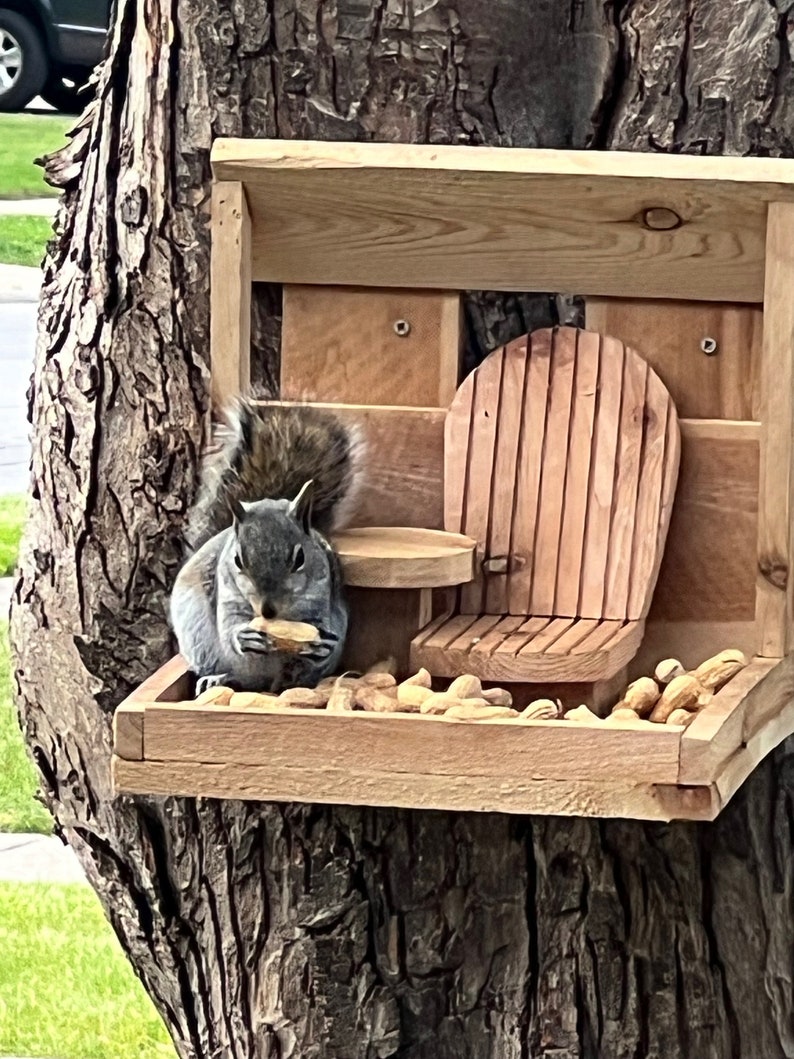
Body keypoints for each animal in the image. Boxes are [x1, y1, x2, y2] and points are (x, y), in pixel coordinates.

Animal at [170, 400, 361, 695]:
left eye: (300, 558)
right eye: (238, 560)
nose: (267, 611)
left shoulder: (320, 596)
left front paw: (323, 646)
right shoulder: (228, 595)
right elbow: (229, 626)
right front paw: (243, 637)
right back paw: (217, 679)